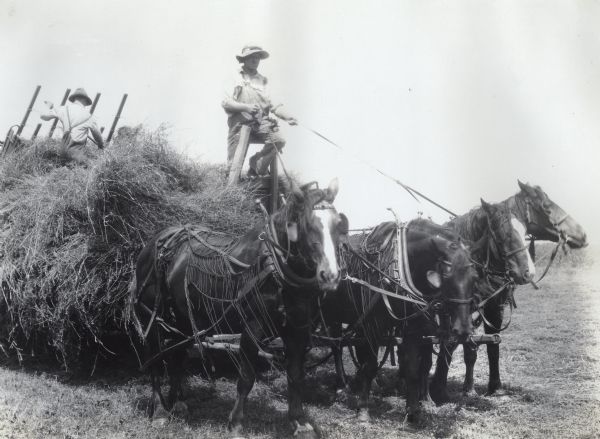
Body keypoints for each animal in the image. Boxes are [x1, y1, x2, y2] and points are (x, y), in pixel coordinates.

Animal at [131, 179, 346, 439]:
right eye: (305, 224)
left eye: (339, 224)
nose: (330, 275)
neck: (274, 266)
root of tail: (158, 239)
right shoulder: (253, 326)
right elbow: (246, 376)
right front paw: (236, 423)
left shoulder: (297, 328)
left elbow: (295, 375)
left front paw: (300, 422)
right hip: (151, 314)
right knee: (154, 358)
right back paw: (160, 410)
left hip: (183, 317)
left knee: (177, 355)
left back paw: (178, 403)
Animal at [322, 220, 480, 426]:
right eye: (446, 277)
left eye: (475, 277)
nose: (463, 329)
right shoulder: (372, 325)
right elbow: (370, 365)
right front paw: (363, 409)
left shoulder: (412, 329)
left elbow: (413, 369)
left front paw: (413, 412)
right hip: (329, 316)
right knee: (335, 347)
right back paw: (341, 385)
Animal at [428, 182, 588, 402]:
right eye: (546, 208)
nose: (582, 234)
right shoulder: (453, 309)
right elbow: (451, 342)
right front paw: (439, 388)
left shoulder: (493, 306)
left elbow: (490, 344)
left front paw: (490, 387)